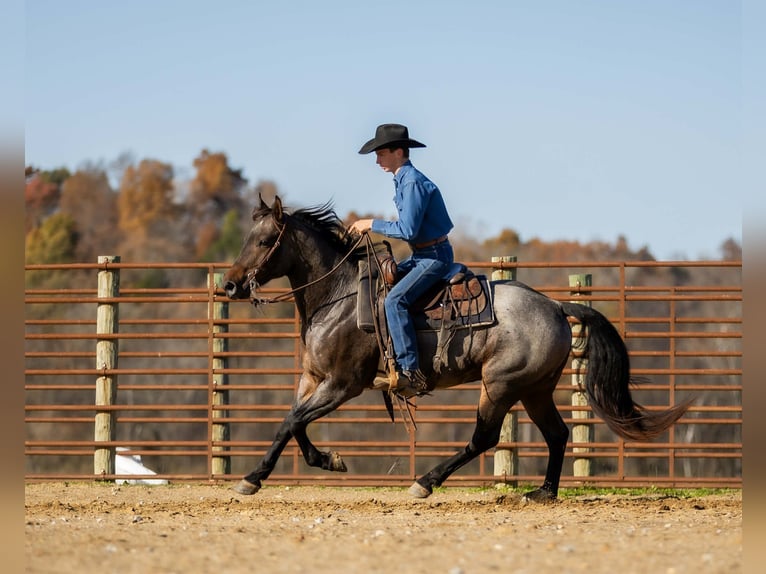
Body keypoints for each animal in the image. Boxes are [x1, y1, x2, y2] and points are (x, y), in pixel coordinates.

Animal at [222, 195, 690, 501]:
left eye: (264, 241)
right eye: (246, 237)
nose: (229, 285)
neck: (338, 297)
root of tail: (556, 305)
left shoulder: (342, 385)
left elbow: (291, 422)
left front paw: (253, 478)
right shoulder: (313, 379)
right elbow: (294, 424)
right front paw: (324, 460)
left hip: (500, 386)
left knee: (484, 438)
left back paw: (426, 482)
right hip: (535, 389)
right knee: (557, 433)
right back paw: (543, 492)